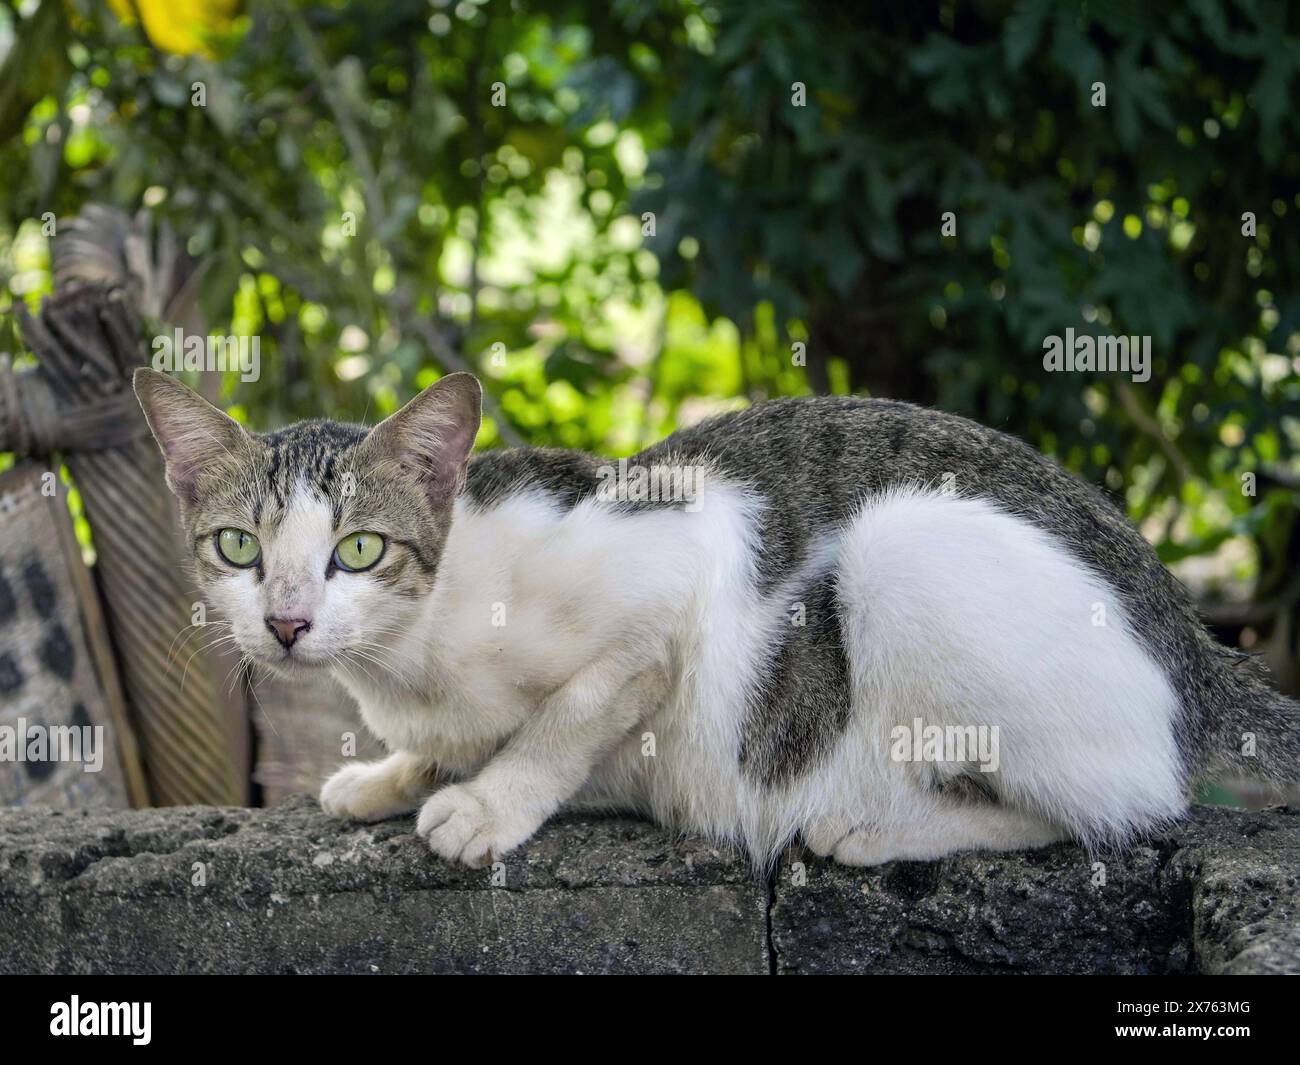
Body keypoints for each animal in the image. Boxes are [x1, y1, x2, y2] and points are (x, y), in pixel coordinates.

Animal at [134, 371, 1300, 868]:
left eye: (359, 551)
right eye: (237, 548)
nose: (287, 623)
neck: (410, 662)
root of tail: (1195, 642)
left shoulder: (675, 571)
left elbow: (566, 717)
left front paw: (486, 803)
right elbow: (455, 744)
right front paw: (388, 777)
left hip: (900, 545)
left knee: (1122, 806)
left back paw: (877, 829)